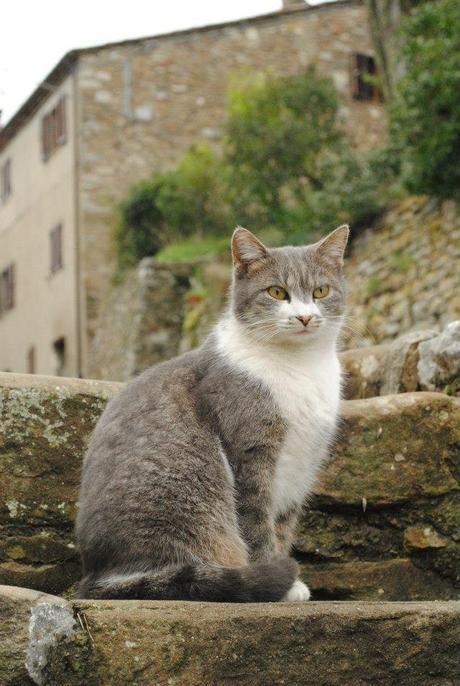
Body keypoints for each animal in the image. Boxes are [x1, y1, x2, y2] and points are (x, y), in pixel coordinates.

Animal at [76, 224, 348, 600]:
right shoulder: (250, 454)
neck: (301, 366)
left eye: (320, 291)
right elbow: (257, 528)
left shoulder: (300, 467)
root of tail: (99, 577)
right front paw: (281, 584)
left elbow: (282, 527)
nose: (305, 316)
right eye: (277, 292)